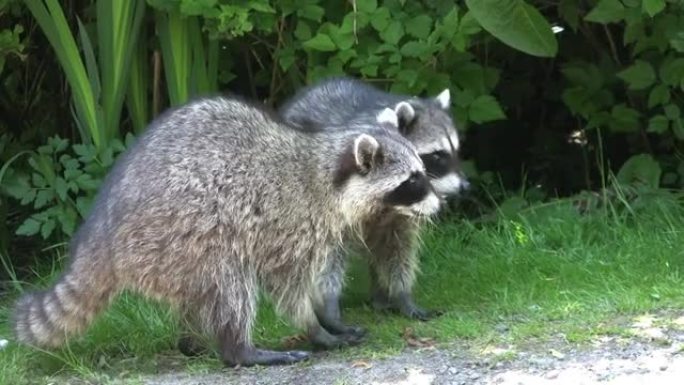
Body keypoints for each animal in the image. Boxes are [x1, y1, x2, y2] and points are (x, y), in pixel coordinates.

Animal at [12, 95, 438, 366]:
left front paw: (331, 315)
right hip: (177, 230)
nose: (440, 203)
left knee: (203, 291)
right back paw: (241, 351)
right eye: (412, 180)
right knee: (230, 279)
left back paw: (192, 340)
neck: (325, 168)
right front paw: (315, 325)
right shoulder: (291, 219)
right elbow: (287, 284)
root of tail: (102, 230)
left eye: (422, 170)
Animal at [280, 76, 468, 328]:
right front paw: (330, 304)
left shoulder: (404, 214)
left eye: (456, 151)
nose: (466, 187)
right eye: (438, 155)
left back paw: (379, 294)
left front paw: (402, 295)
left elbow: (399, 249)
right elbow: (329, 259)